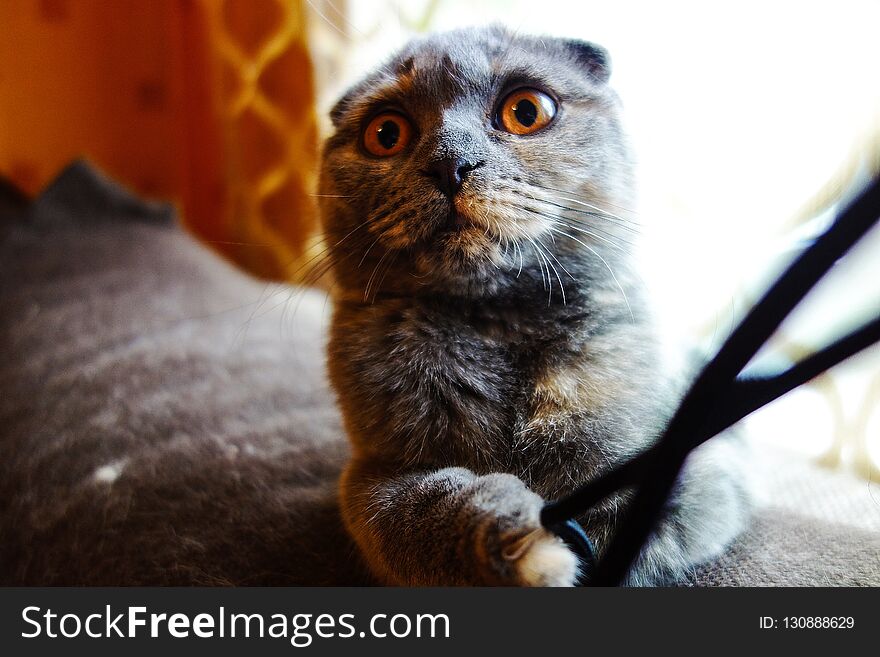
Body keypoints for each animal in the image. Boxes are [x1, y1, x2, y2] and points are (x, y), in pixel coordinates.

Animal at [320, 25, 744, 588]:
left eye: (527, 111)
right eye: (385, 133)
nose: (450, 162)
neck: (498, 325)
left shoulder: (695, 464)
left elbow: (636, 524)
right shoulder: (372, 475)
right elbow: (413, 512)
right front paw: (515, 541)